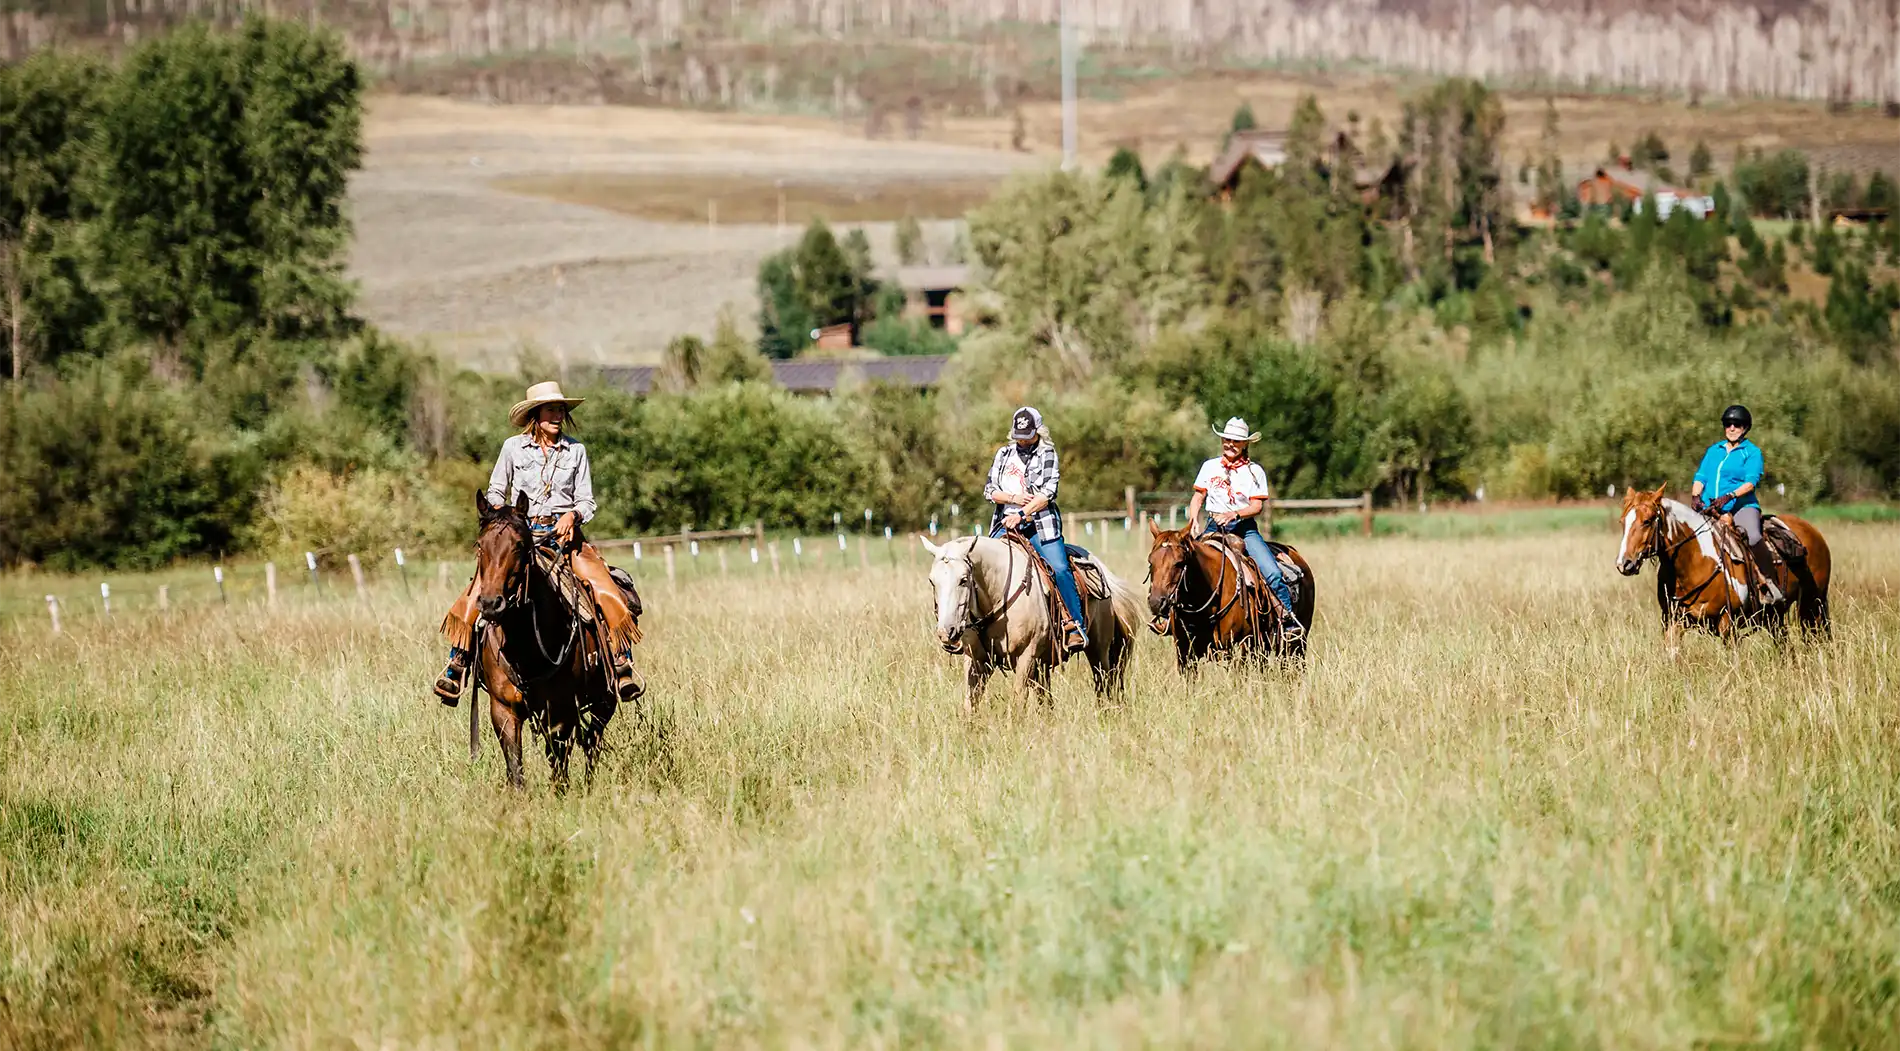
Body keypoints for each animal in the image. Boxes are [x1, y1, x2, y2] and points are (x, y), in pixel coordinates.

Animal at [465, 490, 638, 786]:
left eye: (520, 546)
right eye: (480, 545)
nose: (490, 604)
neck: (525, 648)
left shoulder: (561, 711)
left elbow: (559, 764)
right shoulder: (503, 710)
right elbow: (515, 769)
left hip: (605, 701)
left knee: (592, 743)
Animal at [919, 532, 1140, 714]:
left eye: (963, 579)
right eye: (931, 581)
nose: (946, 632)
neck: (999, 592)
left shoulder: (1026, 655)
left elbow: (1018, 700)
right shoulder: (977, 661)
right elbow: (970, 705)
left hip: (1098, 649)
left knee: (1105, 681)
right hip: (1043, 664)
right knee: (1047, 699)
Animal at [1147, 524, 1314, 672]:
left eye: (1179, 563)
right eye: (1150, 562)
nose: (1156, 602)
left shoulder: (1239, 646)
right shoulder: (1184, 652)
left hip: (1297, 642)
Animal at [1611, 482, 1831, 646]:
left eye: (1648, 521)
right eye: (1622, 522)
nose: (1625, 563)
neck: (1693, 564)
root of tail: (1813, 532)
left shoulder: (1727, 624)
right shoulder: (1673, 623)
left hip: (1813, 604)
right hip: (1775, 617)